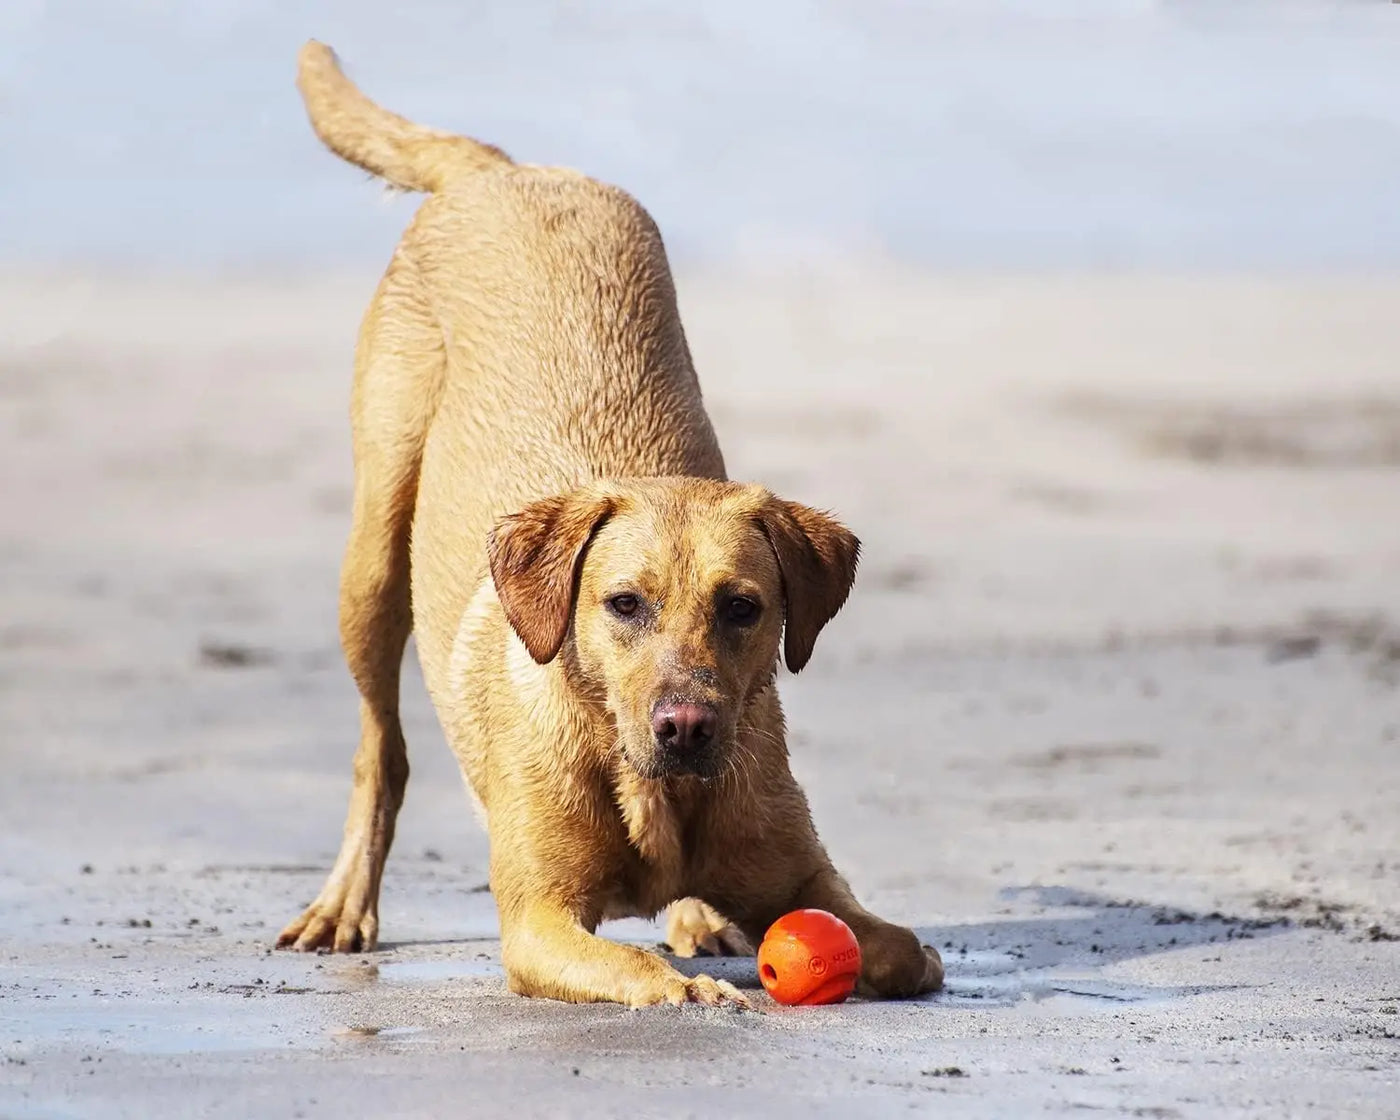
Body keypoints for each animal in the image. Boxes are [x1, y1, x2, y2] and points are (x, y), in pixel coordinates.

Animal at [275, 41, 940, 1008]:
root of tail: (505, 171)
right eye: (623, 604)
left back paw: (696, 916)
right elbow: (627, 962)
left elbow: (900, 947)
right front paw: (686, 988)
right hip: (371, 556)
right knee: (379, 752)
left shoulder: (805, 872)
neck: (654, 792)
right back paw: (342, 904)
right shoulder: (538, 920)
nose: (687, 727)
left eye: (743, 608)